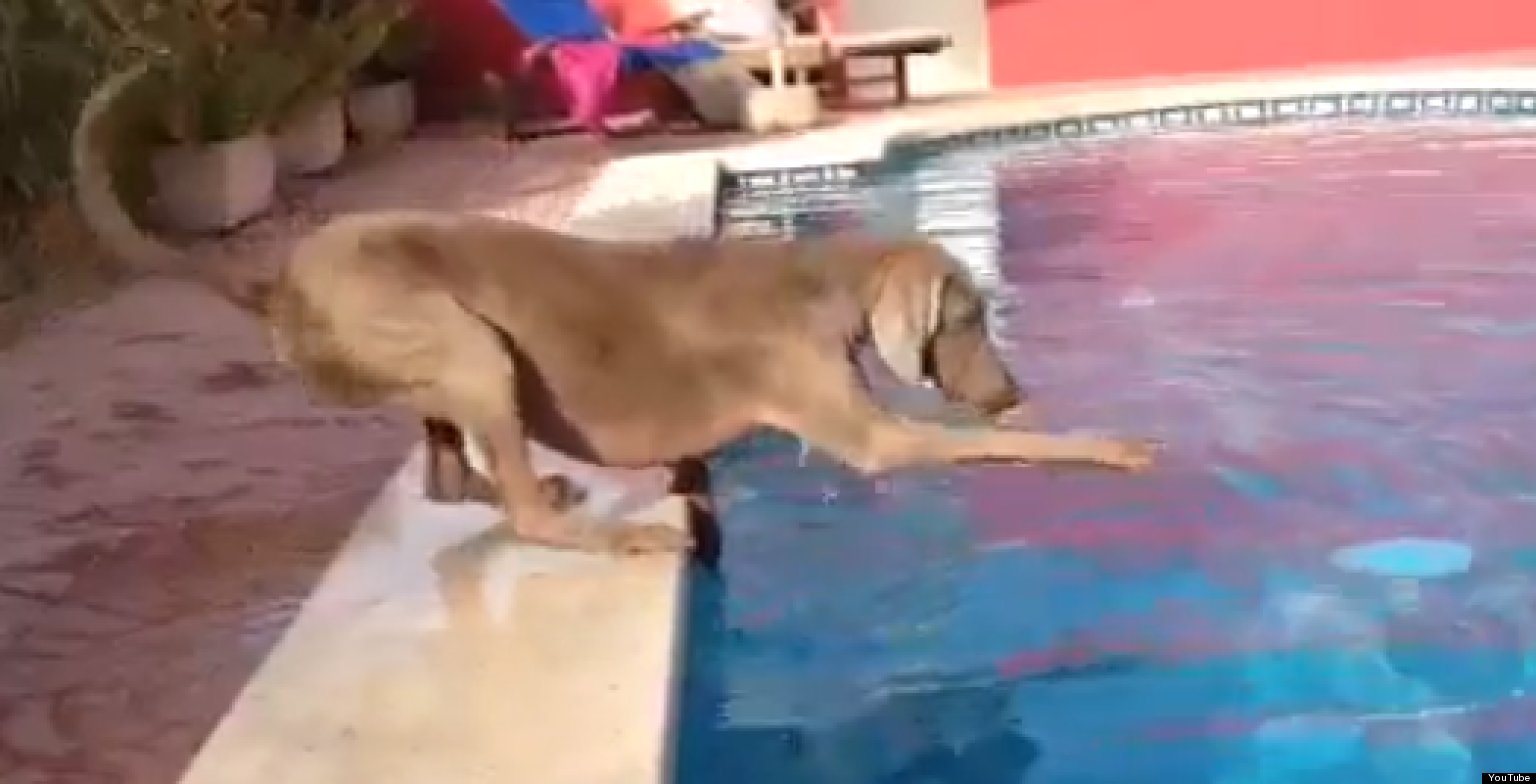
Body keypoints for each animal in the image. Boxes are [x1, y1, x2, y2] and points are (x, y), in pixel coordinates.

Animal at [242, 210, 1155, 553]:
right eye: (969, 318)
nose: (1007, 394)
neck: (824, 281)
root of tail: (278, 283)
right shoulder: (871, 436)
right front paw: (1116, 445)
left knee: (447, 475)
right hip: (465, 340)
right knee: (521, 514)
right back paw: (617, 533)